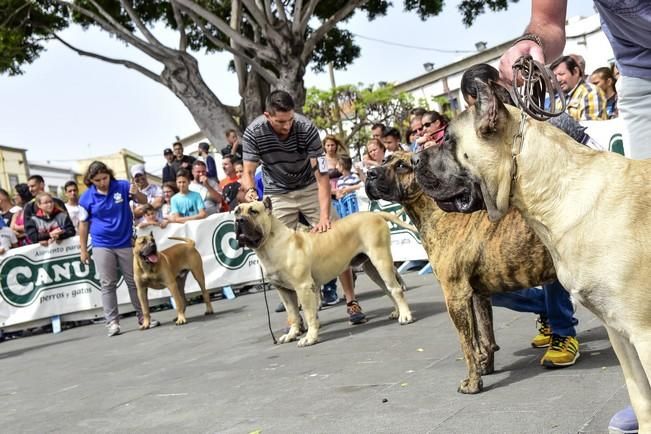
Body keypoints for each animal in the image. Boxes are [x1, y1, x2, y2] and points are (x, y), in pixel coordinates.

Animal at [236, 198, 412, 348]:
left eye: (253, 211)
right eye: (237, 212)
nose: (238, 220)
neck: (271, 243)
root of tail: (375, 214)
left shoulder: (303, 287)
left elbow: (309, 314)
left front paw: (309, 338)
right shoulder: (284, 291)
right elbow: (293, 315)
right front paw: (292, 334)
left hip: (381, 260)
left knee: (396, 289)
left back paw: (405, 316)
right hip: (372, 268)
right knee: (388, 289)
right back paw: (397, 312)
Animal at [364, 152, 556, 394]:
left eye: (401, 165)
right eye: (385, 159)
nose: (369, 173)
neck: (438, 213)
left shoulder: (455, 295)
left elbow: (466, 345)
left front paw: (473, 383)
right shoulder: (476, 294)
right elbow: (482, 337)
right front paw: (485, 367)